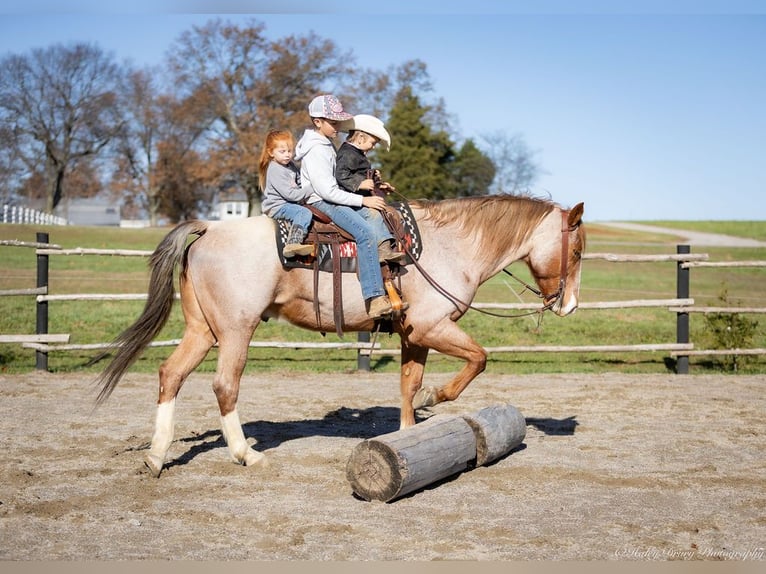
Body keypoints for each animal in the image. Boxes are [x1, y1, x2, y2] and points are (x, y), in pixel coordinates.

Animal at [94, 194, 588, 476]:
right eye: (578, 250)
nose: (570, 305)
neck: (449, 246)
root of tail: (209, 227)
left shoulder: (414, 335)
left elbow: (407, 386)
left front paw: (408, 435)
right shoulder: (433, 326)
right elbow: (477, 359)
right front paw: (435, 398)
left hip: (203, 329)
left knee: (170, 375)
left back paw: (157, 456)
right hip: (236, 329)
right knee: (224, 385)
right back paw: (246, 454)